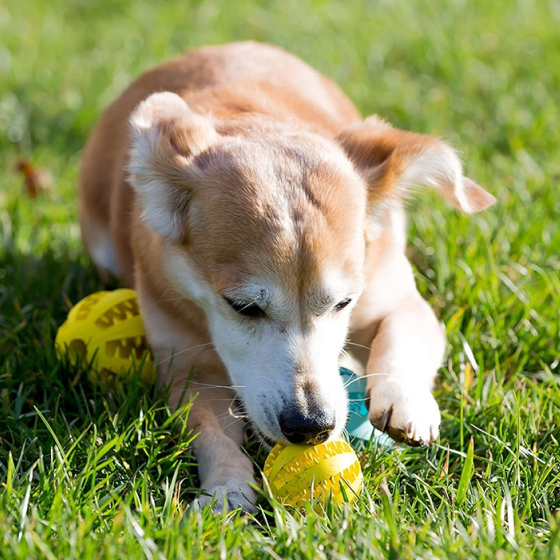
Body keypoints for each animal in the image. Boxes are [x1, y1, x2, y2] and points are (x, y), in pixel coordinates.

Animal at [79, 40, 494, 512]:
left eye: (344, 303)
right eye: (242, 307)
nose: (311, 425)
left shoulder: (397, 298)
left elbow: (404, 330)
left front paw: (405, 400)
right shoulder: (187, 369)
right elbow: (210, 430)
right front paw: (226, 486)